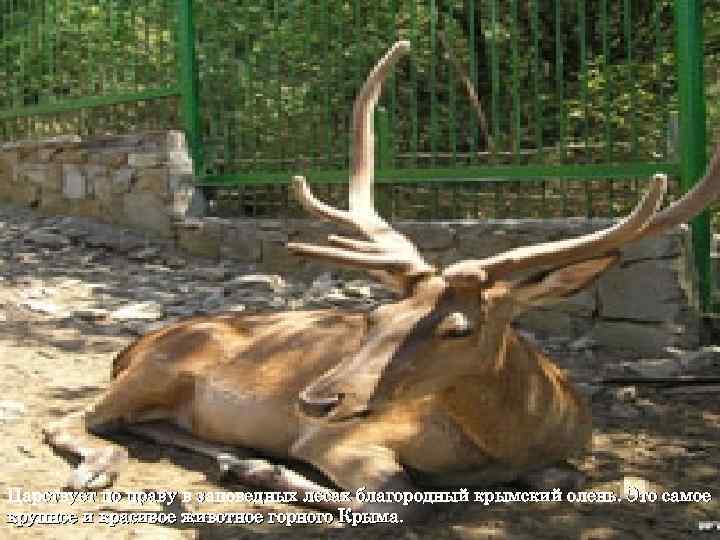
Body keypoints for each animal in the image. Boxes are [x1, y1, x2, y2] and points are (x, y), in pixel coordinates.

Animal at [43, 40, 720, 520]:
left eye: (458, 328)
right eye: (374, 314)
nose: (317, 400)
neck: (514, 438)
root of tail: (133, 346)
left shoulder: (563, 457)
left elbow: (574, 479)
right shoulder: (345, 441)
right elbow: (400, 498)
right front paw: (267, 472)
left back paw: (224, 454)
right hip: (157, 372)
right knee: (74, 419)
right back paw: (111, 467)